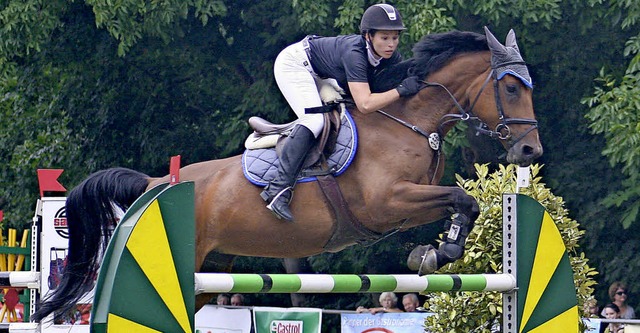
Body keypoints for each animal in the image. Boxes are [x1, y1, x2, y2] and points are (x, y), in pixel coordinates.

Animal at [32, 27, 544, 320]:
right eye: (511, 88)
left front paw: (435, 251)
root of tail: (156, 185)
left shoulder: (404, 203)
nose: (529, 150)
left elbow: (463, 202)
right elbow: (462, 198)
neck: (410, 121)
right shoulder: (387, 202)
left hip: (210, 269)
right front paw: (435, 254)